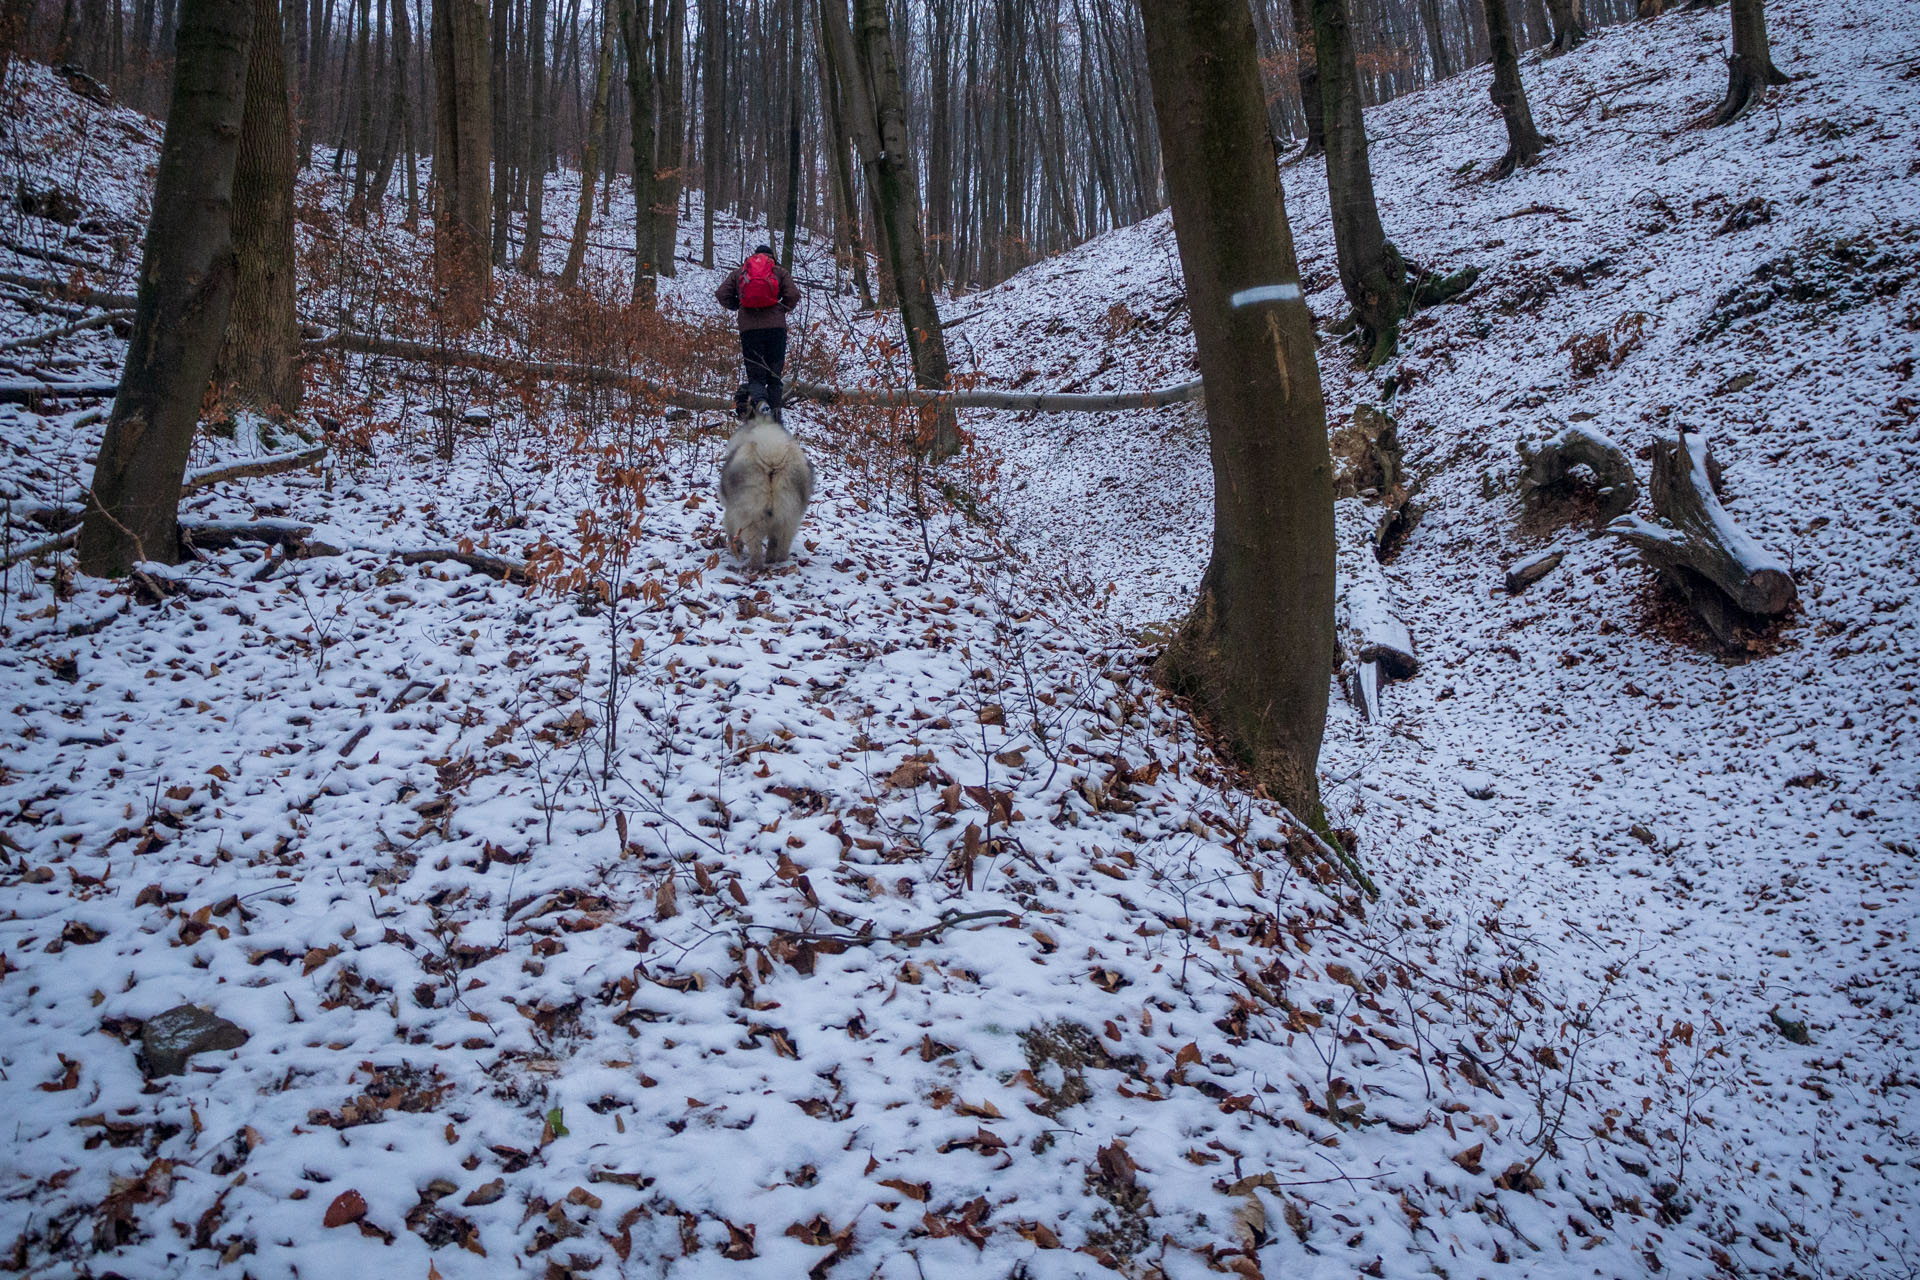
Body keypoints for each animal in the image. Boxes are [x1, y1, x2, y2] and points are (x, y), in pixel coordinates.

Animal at [718, 410, 814, 571]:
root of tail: (772, 457)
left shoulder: (732, 511)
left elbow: (731, 530)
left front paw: (735, 549)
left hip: (750, 515)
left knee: (755, 546)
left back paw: (754, 566)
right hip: (790, 514)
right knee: (782, 542)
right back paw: (777, 560)